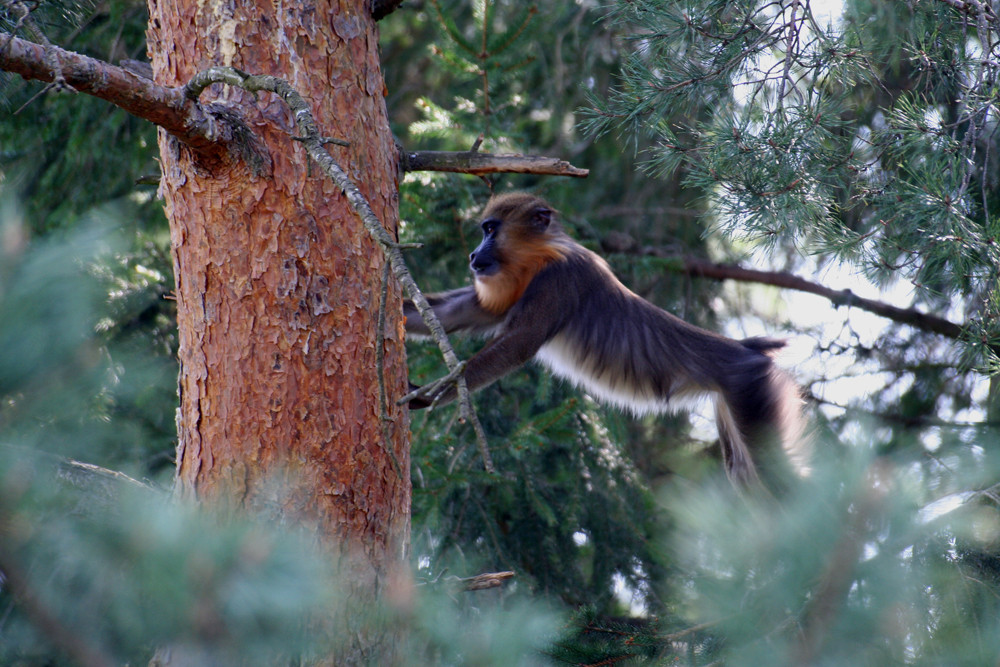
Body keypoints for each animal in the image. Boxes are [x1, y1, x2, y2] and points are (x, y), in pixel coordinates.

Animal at [402, 192, 808, 486]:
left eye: (490, 230)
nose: (474, 254)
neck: (544, 255)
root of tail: (748, 351)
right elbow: (458, 313)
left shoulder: (559, 280)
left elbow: (518, 344)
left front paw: (421, 397)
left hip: (750, 390)